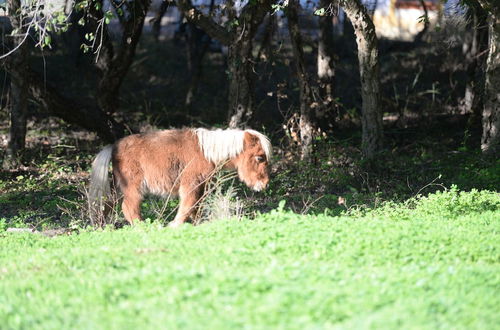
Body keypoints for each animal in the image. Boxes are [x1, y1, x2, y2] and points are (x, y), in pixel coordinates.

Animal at [88, 127, 272, 226]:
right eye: (260, 158)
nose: (264, 184)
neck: (206, 152)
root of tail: (113, 146)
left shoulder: (201, 185)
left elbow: (196, 207)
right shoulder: (190, 184)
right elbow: (188, 205)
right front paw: (174, 225)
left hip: (119, 188)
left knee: (107, 205)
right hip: (133, 187)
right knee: (128, 207)